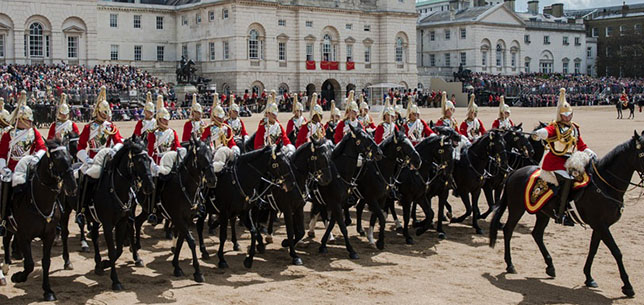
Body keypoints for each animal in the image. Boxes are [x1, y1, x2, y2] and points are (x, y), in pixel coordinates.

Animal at [5, 140, 78, 300]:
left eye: (70, 157)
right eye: (56, 159)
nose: (73, 186)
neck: (40, 200)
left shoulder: (49, 235)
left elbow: (46, 262)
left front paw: (48, 291)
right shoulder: (23, 235)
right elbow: (30, 264)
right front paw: (18, 277)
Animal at [85, 138, 153, 290]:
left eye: (150, 160)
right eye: (139, 161)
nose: (150, 186)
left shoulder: (122, 220)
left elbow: (119, 249)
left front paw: (105, 263)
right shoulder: (107, 225)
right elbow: (112, 250)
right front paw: (115, 280)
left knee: (95, 236)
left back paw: (99, 263)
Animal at [155, 137, 218, 282]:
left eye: (212, 155)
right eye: (200, 157)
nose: (212, 180)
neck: (184, 187)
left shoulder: (187, 219)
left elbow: (181, 241)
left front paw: (176, 266)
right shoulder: (178, 218)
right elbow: (191, 242)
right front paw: (198, 272)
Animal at [490, 131, 644, 296]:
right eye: (642, 153)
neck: (606, 185)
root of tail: (514, 172)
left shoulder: (599, 226)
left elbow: (593, 250)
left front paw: (588, 277)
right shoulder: (600, 225)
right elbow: (616, 251)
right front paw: (627, 286)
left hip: (543, 213)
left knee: (537, 234)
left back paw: (550, 267)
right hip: (517, 208)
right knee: (508, 230)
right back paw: (510, 264)